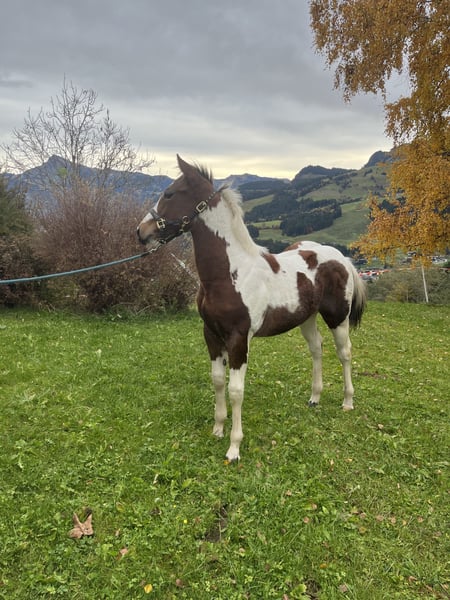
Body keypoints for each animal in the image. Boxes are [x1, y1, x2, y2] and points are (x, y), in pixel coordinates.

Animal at [137, 155, 367, 461]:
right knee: (317, 349)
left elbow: (236, 390)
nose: (141, 232)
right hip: (306, 318)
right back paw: (314, 398)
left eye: (170, 194)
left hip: (337, 317)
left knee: (345, 353)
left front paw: (234, 447)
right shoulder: (211, 334)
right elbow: (217, 381)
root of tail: (342, 258)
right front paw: (217, 429)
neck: (230, 273)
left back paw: (347, 401)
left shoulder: (238, 339)